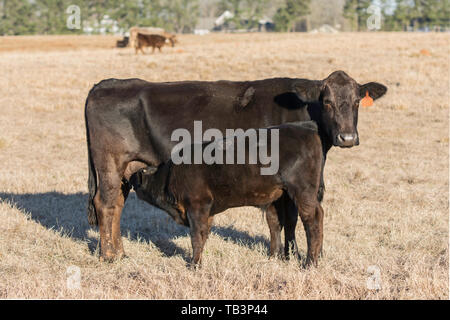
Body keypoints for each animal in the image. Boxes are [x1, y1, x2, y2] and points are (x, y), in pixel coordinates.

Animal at [132, 121, 326, 266]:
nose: (130, 180)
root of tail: (306, 128)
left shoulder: (197, 205)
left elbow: (196, 236)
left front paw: (194, 264)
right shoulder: (207, 211)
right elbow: (204, 234)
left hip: (303, 191)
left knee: (312, 219)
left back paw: (309, 263)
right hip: (279, 196)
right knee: (277, 223)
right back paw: (274, 258)